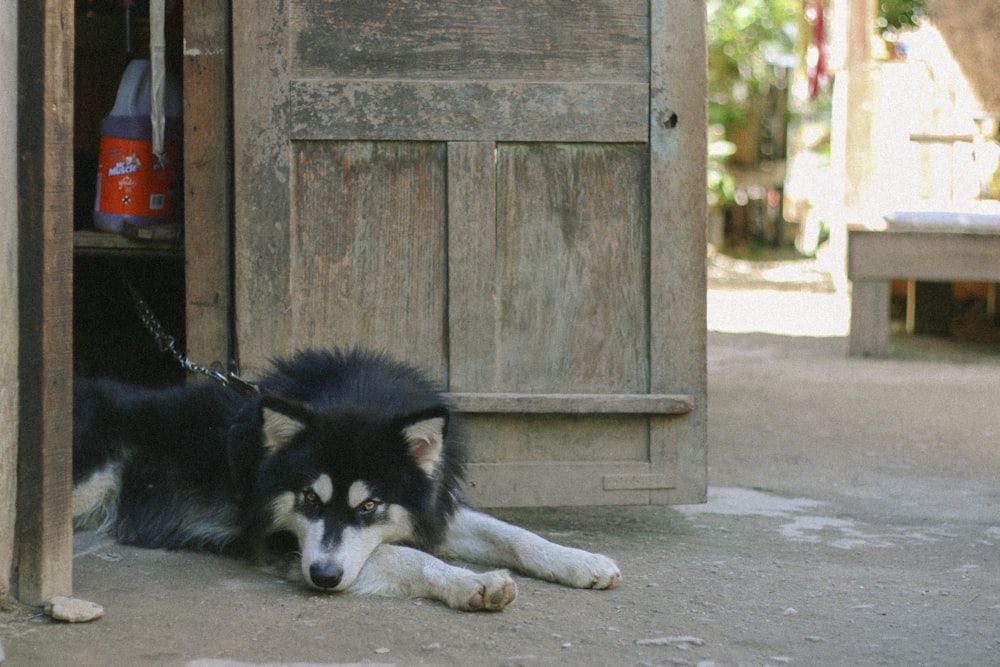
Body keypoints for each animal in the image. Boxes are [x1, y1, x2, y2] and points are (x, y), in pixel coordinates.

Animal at [72, 350, 616, 612]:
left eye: (369, 506)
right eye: (309, 498)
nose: (324, 578)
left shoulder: (429, 504)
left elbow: (514, 535)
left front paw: (580, 561)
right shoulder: (281, 540)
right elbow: (401, 556)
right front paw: (472, 582)